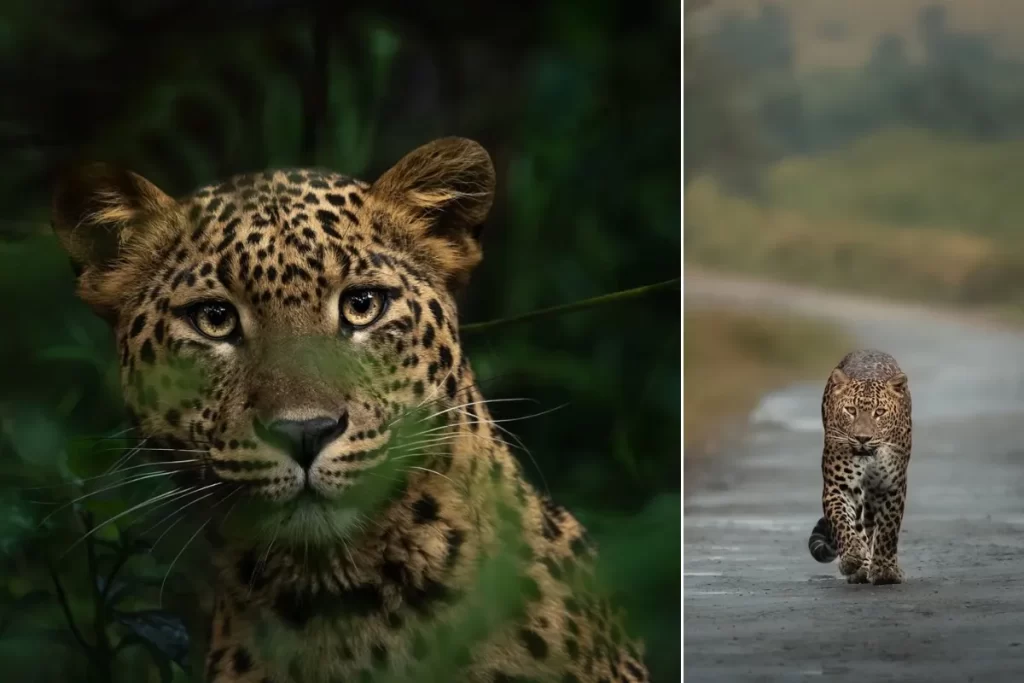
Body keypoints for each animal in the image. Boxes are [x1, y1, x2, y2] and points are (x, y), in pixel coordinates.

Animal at [806, 349, 912, 586]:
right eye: (850, 410)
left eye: (879, 412)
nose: (862, 438)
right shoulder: (839, 486)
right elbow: (842, 522)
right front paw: (853, 557)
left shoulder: (891, 486)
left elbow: (888, 529)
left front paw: (885, 570)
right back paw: (861, 566)